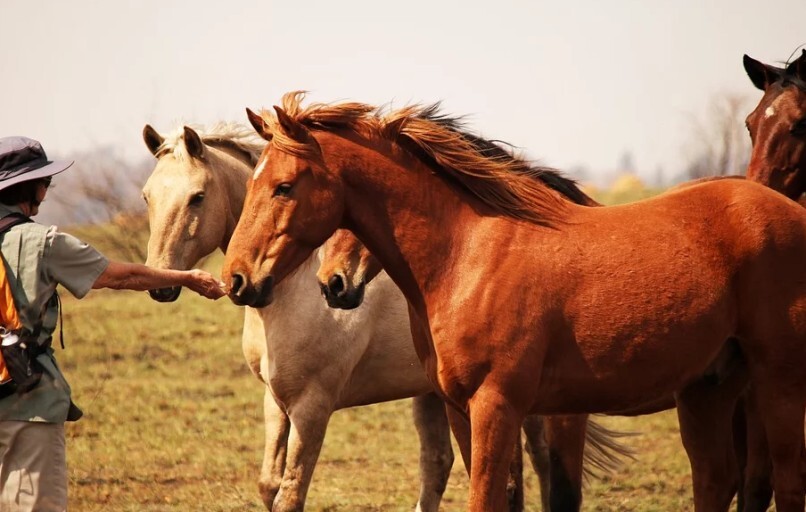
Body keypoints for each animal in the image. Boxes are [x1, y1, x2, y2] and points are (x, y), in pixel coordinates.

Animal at [139, 122, 624, 510]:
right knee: (442, 465)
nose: (160, 283)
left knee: (536, 463)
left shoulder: (313, 405)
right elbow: (269, 485)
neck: (296, 287)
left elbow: (291, 493)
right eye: (147, 197)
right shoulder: (275, 400)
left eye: (197, 197)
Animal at [224, 93, 806, 512]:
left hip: (776, 384)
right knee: (717, 481)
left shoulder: (497, 405)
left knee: (784, 481)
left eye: (283, 187)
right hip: (708, 388)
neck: (467, 254)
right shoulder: (460, 407)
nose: (237, 279)